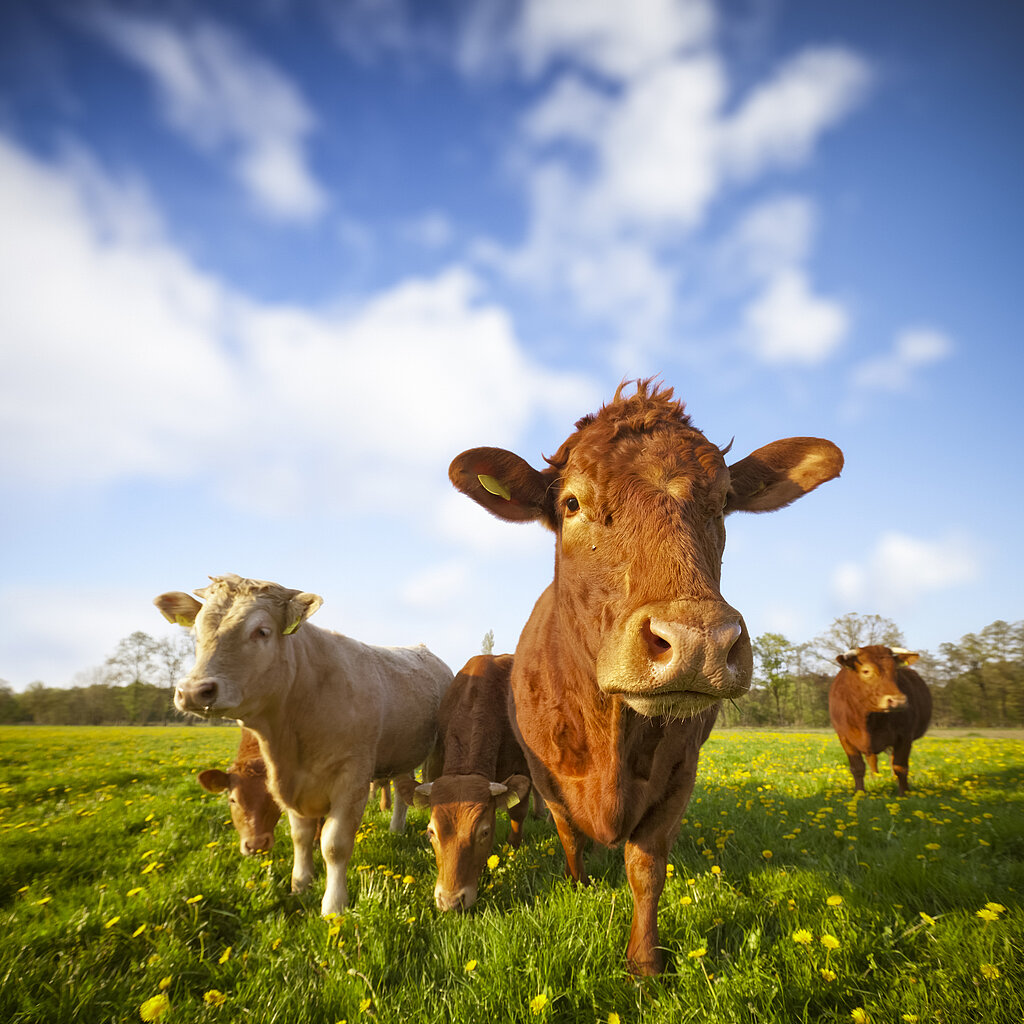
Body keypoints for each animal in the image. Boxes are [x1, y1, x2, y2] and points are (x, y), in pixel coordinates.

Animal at [448, 379, 842, 974]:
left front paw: (644, 964)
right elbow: (569, 838)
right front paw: (581, 888)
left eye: (722, 503)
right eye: (572, 502)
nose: (698, 641)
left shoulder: (680, 774)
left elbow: (647, 866)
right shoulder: (545, 774)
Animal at [829, 645, 932, 796]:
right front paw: (859, 793)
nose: (898, 701)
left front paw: (904, 793)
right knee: (872, 759)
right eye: (866, 670)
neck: (867, 720)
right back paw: (874, 779)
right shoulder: (845, 738)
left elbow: (900, 766)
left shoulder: (905, 736)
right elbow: (857, 767)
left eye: (896, 670)